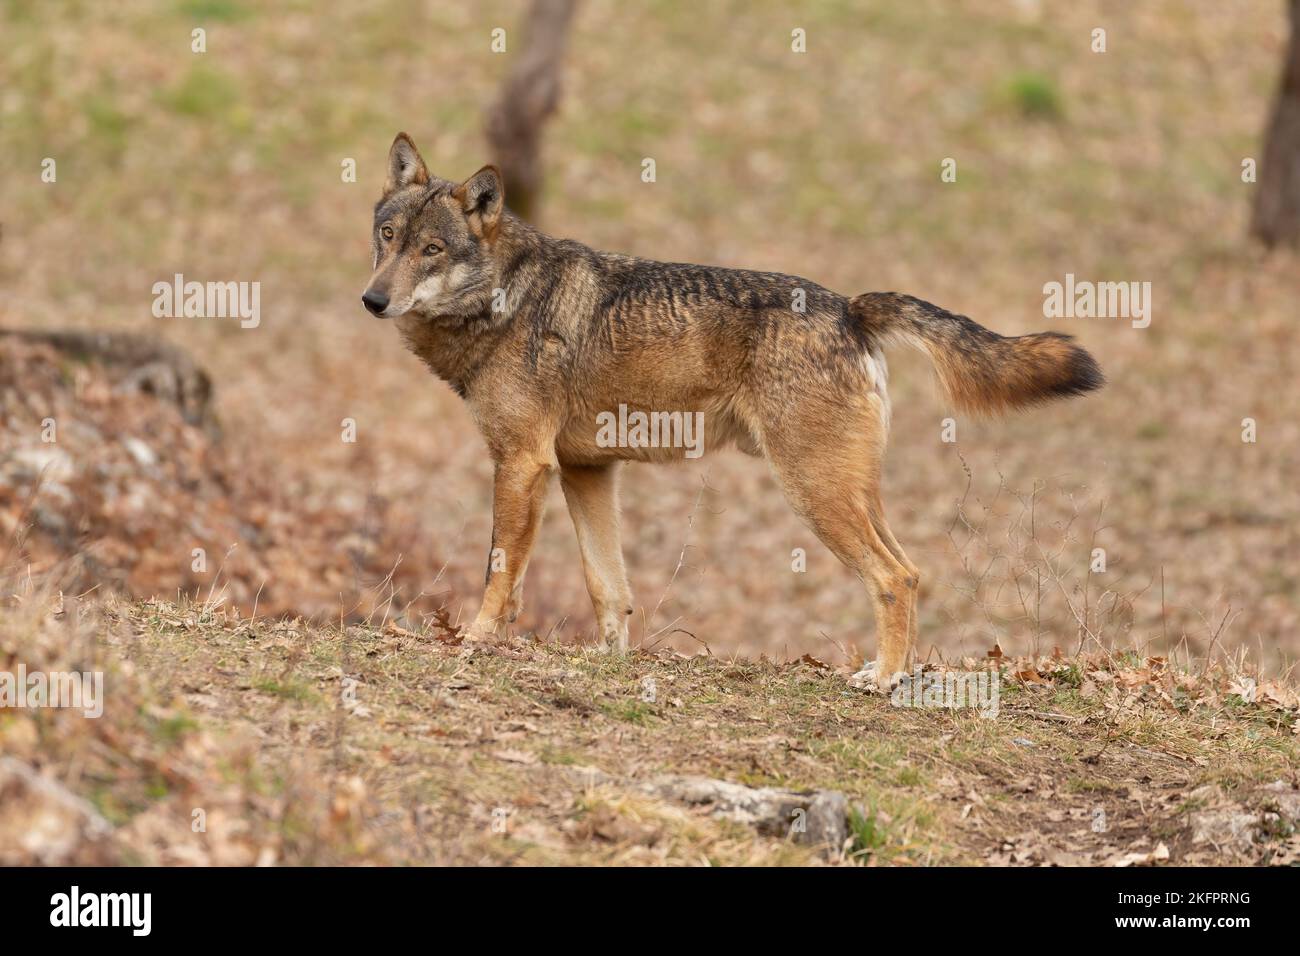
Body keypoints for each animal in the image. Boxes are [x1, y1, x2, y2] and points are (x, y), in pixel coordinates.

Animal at [361, 132, 1102, 686]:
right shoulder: (587, 471)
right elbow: (608, 587)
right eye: (388, 237)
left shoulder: (522, 464)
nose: (372, 300)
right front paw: (609, 662)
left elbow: (499, 571)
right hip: (853, 492)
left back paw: (883, 680)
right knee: (914, 571)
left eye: (432, 250)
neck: (504, 299)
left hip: (813, 493)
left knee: (894, 577)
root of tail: (851, 307)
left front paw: (476, 640)